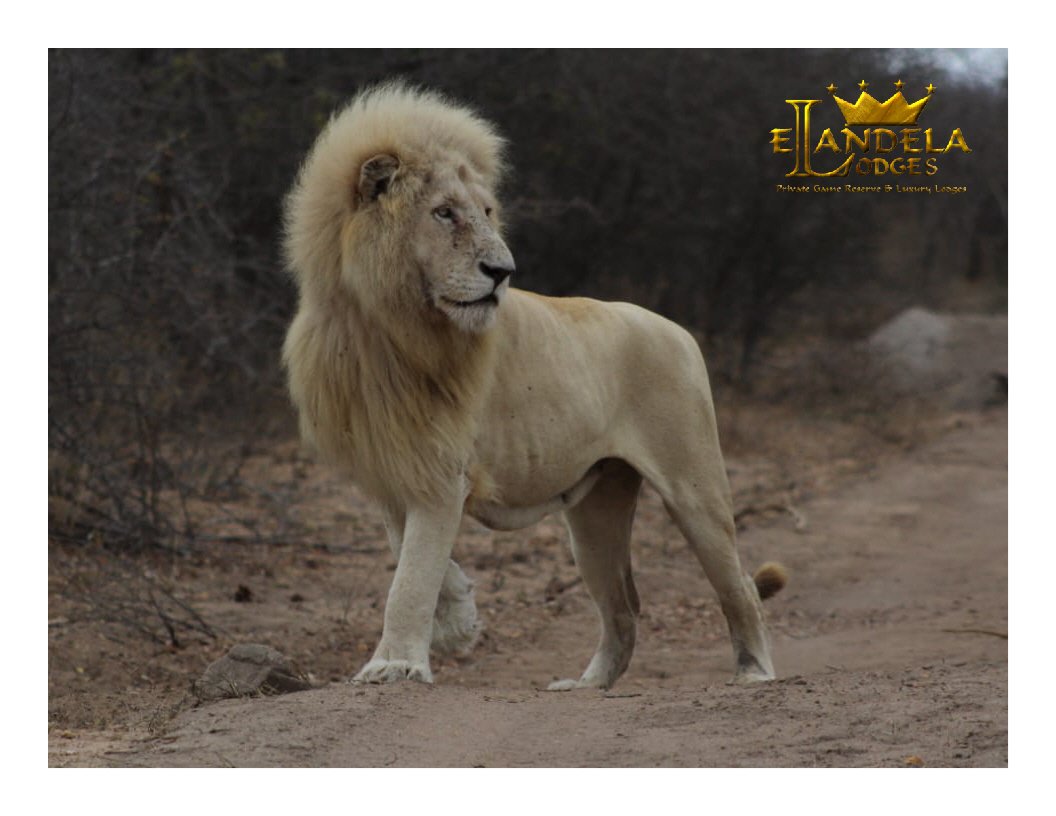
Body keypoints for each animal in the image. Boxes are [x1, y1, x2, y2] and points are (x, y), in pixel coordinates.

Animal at [282, 82, 785, 690]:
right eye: (444, 213)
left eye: (487, 213)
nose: (504, 271)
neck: (382, 329)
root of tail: (679, 330)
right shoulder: (394, 467)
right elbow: (415, 560)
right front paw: (459, 619)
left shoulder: (440, 470)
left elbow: (410, 579)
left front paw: (396, 663)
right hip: (594, 512)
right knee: (623, 608)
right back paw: (588, 686)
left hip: (695, 487)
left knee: (740, 589)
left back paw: (756, 673)